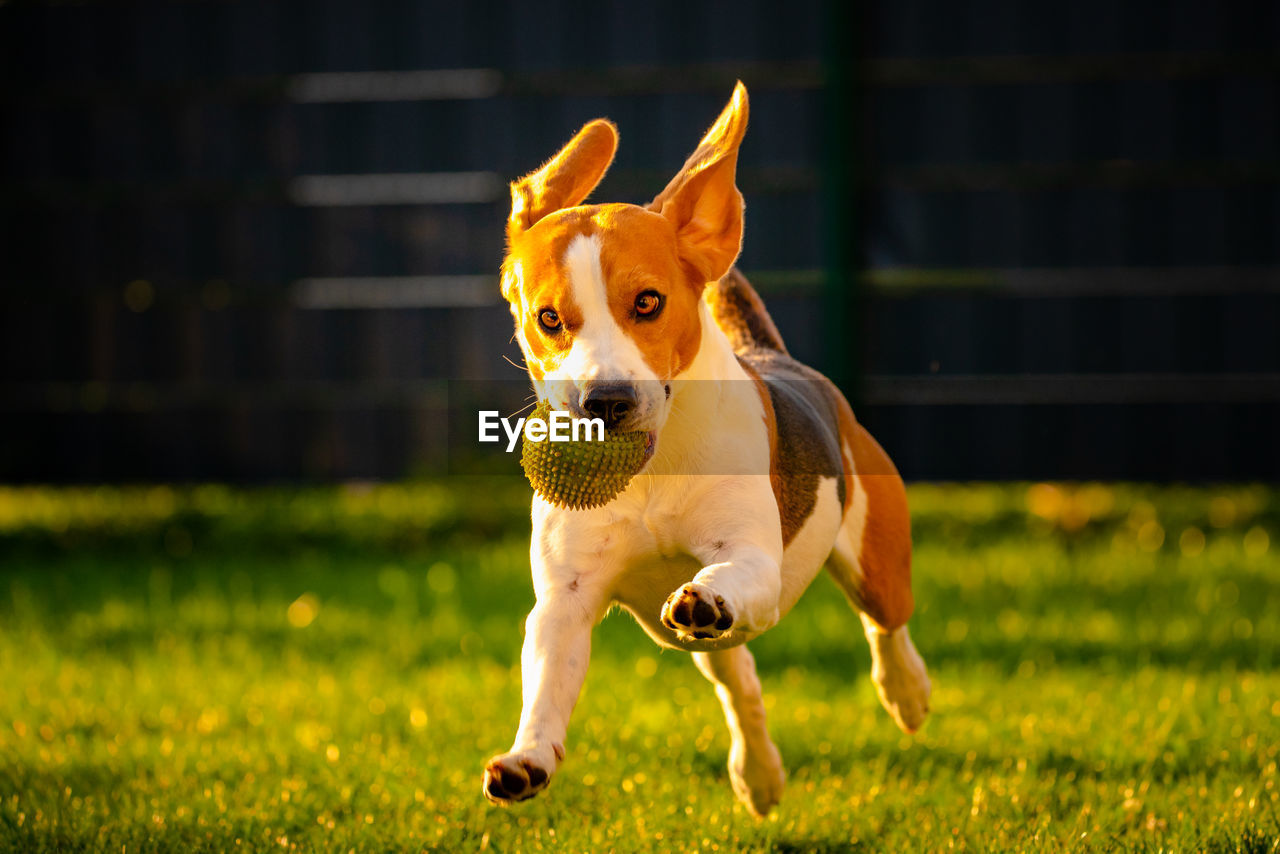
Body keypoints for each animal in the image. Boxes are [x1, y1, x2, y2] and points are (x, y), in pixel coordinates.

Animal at [481, 83, 931, 819]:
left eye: (648, 302)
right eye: (549, 319)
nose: (606, 401)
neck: (651, 472)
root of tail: (773, 355)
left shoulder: (751, 558)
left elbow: (730, 576)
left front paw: (710, 595)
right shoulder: (565, 599)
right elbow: (547, 682)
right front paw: (528, 758)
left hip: (876, 562)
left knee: (885, 626)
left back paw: (908, 692)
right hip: (706, 648)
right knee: (739, 681)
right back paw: (760, 773)